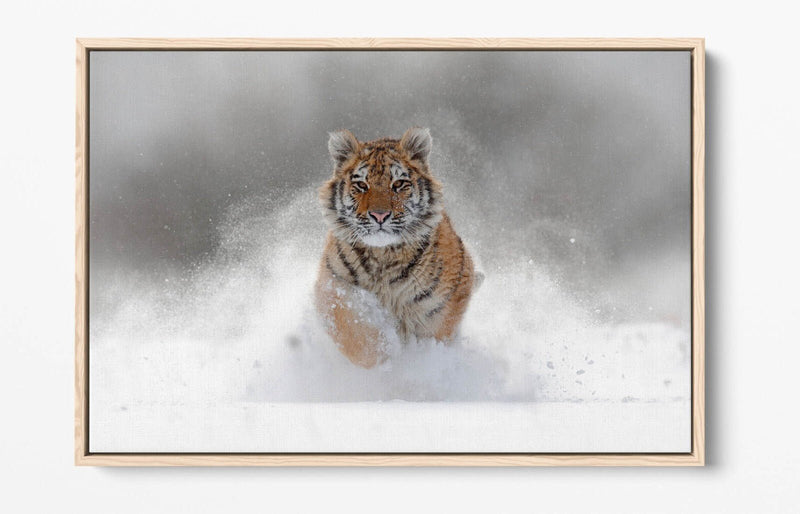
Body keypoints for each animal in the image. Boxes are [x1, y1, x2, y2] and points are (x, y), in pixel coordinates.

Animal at [315, 127, 479, 368]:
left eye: (399, 184)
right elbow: (355, 334)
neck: (383, 255)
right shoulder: (333, 286)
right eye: (361, 185)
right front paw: (385, 356)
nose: (379, 215)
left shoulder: (442, 303)